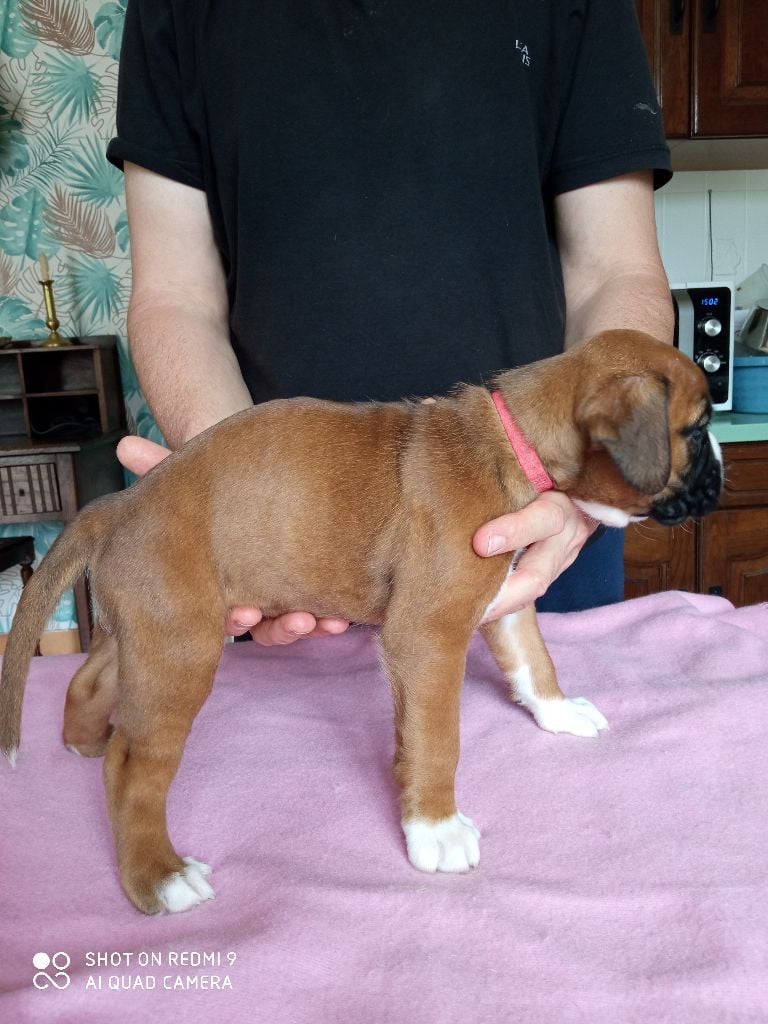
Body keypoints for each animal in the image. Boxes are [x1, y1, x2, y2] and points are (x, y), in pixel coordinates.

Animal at [0, 330, 722, 914]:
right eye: (694, 430)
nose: (723, 462)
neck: (512, 436)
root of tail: (119, 505)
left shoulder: (504, 595)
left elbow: (532, 658)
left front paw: (558, 710)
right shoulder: (428, 636)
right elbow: (437, 739)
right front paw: (436, 827)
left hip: (152, 630)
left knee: (92, 678)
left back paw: (83, 739)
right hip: (182, 651)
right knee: (133, 770)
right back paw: (158, 877)